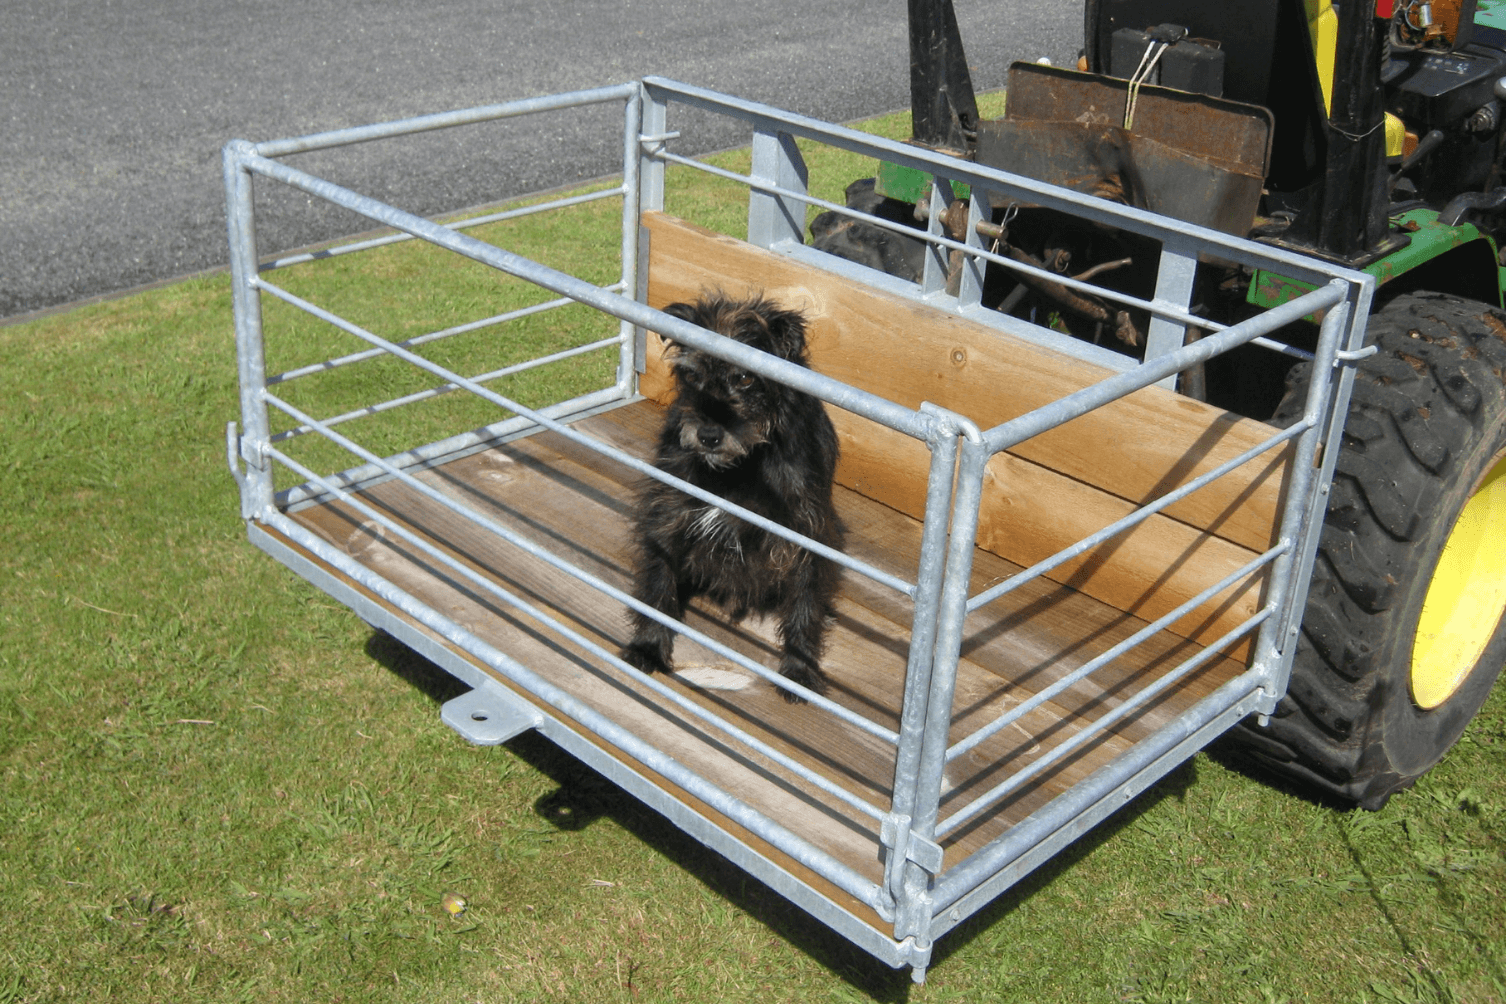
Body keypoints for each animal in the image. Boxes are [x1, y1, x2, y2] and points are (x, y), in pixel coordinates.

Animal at [617, 290, 843, 704]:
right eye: (691, 374)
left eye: (744, 377)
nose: (707, 435)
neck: (738, 467)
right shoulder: (668, 514)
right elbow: (658, 584)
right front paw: (649, 646)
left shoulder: (807, 530)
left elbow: (804, 604)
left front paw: (799, 669)